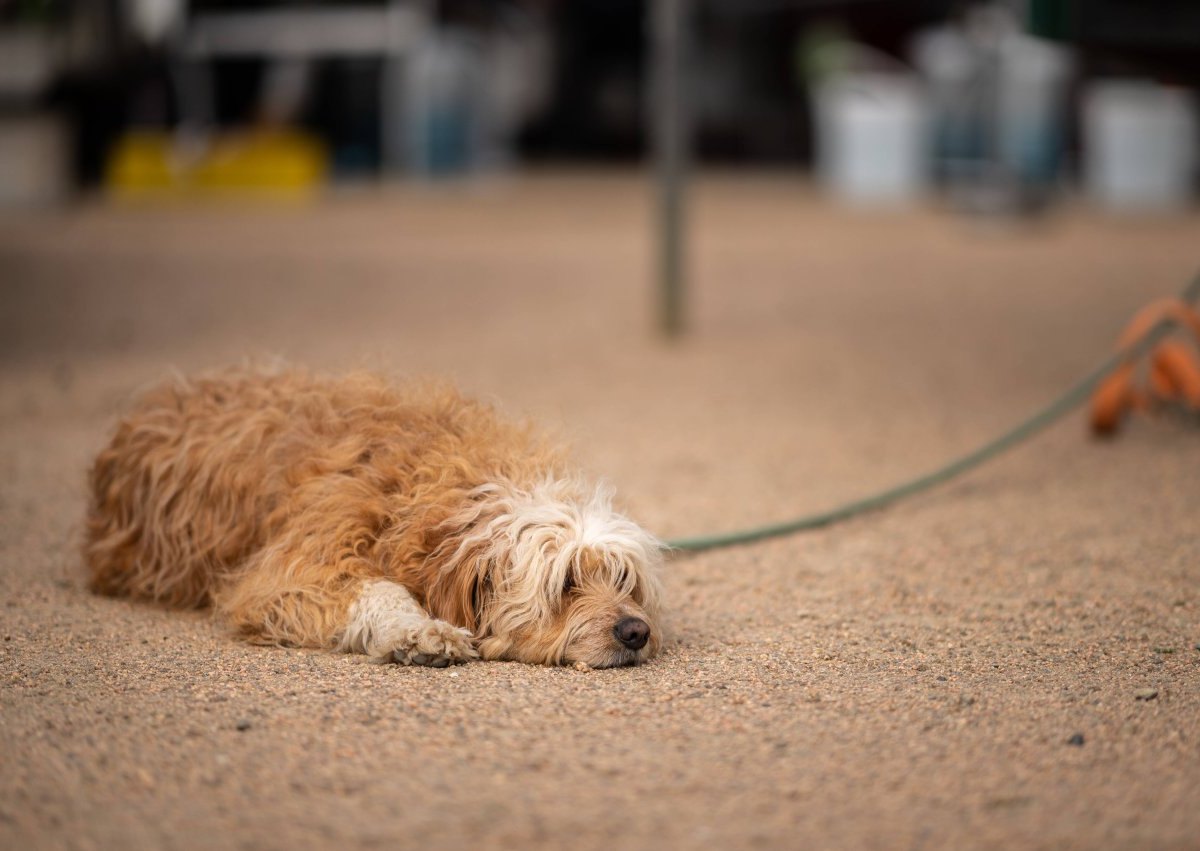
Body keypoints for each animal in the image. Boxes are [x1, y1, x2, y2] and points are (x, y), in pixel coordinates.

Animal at [84, 367, 667, 667]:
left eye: (624, 580)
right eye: (567, 582)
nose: (636, 631)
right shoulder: (297, 566)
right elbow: (375, 590)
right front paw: (422, 633)